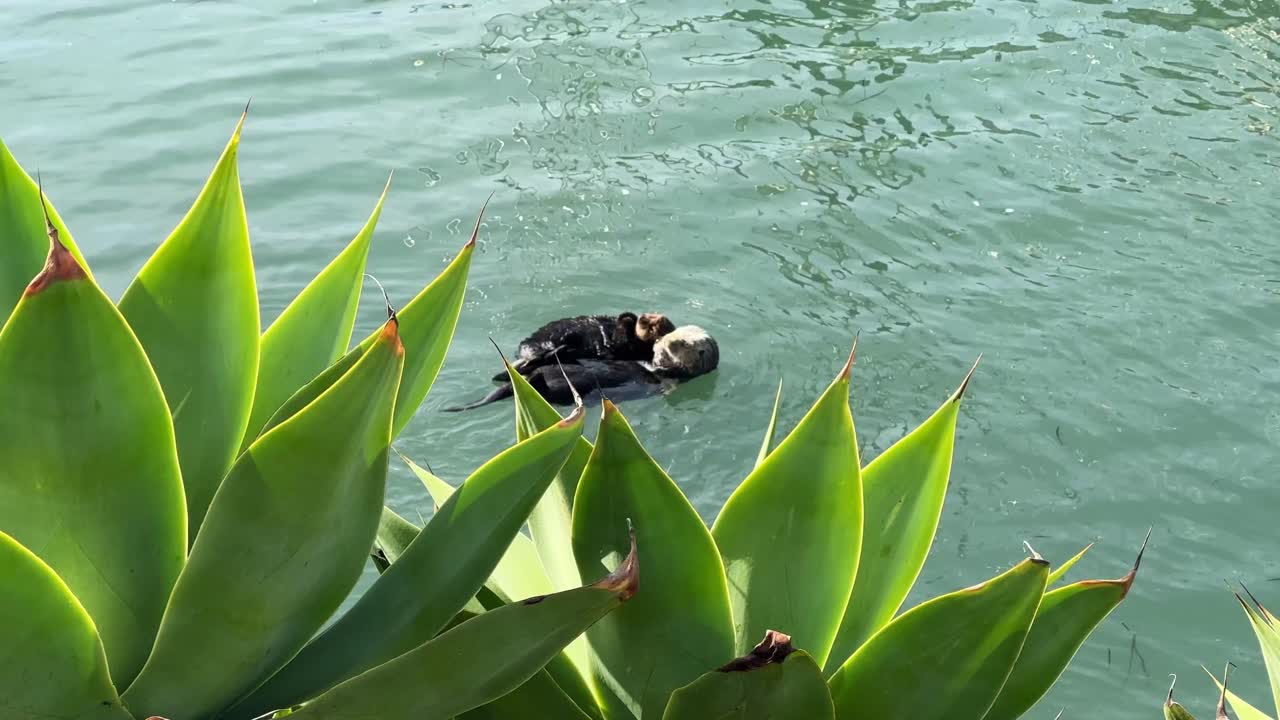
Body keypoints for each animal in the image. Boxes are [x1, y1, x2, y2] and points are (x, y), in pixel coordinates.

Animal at [449, 325, 719, 411]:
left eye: (680, 343)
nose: (663, 341)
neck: (655, 367)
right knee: (513, 373)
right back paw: (554, 354)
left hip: (563, 392)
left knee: (543, 387)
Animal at [490, 312, 676, 382]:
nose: (645, 317)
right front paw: (630, 317)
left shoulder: (630, 349)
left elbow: (625, 342)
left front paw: (629, 320)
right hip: (535, 343)